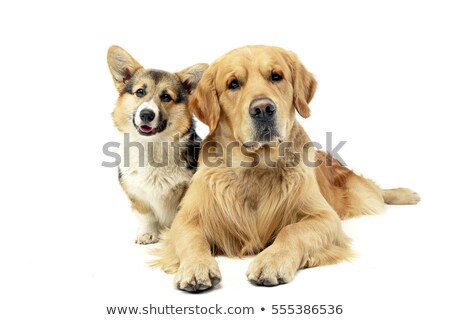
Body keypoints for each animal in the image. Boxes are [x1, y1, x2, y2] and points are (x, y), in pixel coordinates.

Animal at [107, 45, 207, 244]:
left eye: (166, 96)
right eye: (140, 92)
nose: (146, 114)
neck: (152, 146)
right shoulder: (137, 194)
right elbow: (147, 216)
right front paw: (148, 234)